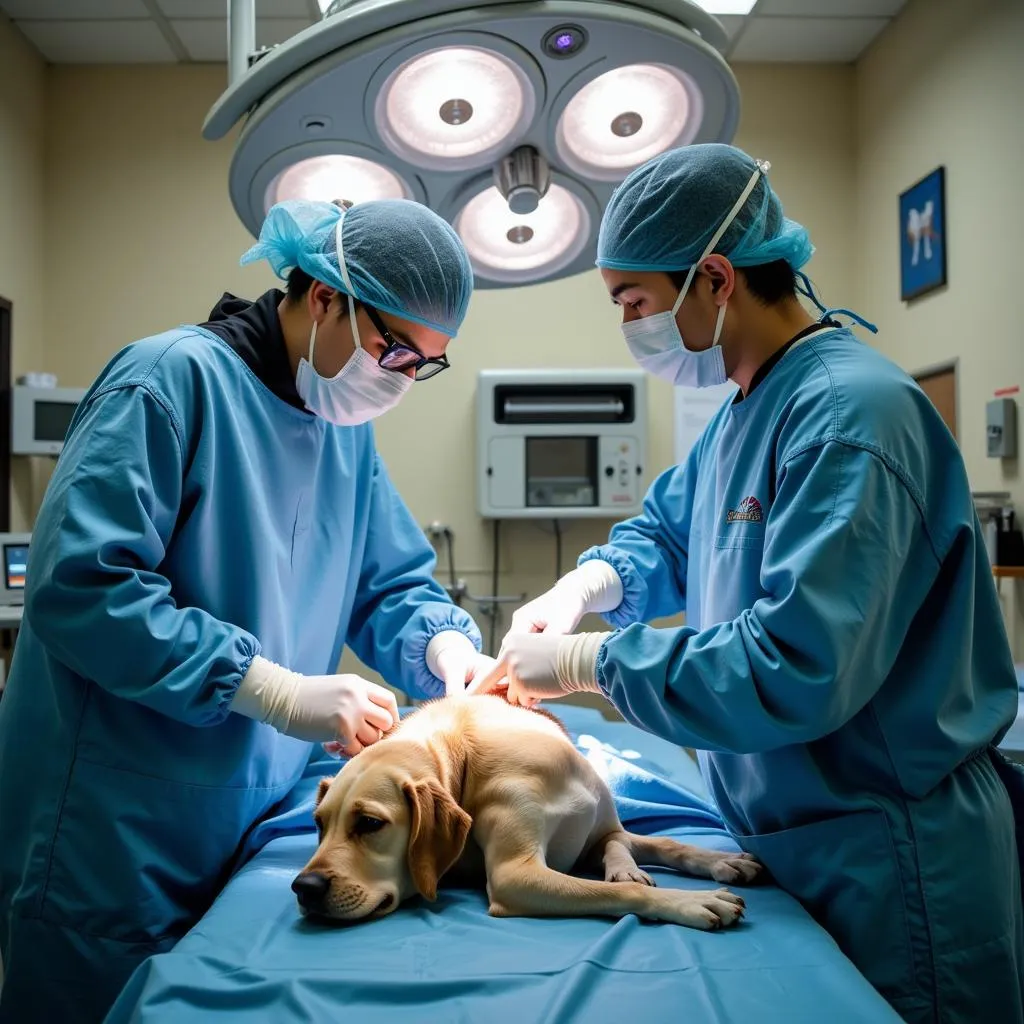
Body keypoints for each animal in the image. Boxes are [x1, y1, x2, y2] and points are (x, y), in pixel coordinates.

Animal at [290, 696, 761, 929]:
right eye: (318, 825)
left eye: (370, 823)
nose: (303, 887)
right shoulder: (514, 875)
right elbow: (626, 891)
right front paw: (691, 901)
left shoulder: (600, 829)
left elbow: (661, 843)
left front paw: (722, 860)